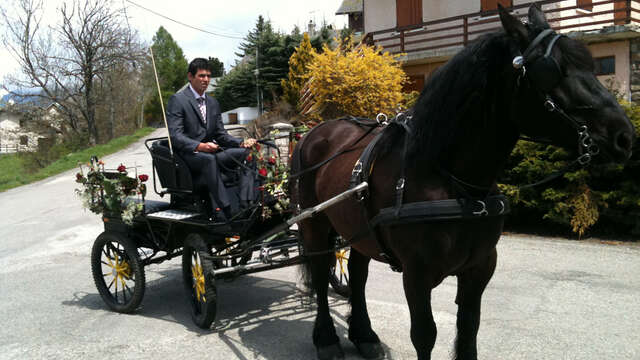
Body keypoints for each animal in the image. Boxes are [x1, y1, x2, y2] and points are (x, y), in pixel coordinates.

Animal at [292, 4, 636, 360]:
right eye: (552, 70)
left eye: (591, 65)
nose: (625, 136)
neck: (455, 184)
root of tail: (312, 134)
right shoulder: (417, 274)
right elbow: (425, 335)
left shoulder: (480, 267)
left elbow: (469, 329)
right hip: (314, 223)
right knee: (320, 274)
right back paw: (327, 339)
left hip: (358, 228)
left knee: (358, 275)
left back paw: (364, 335)